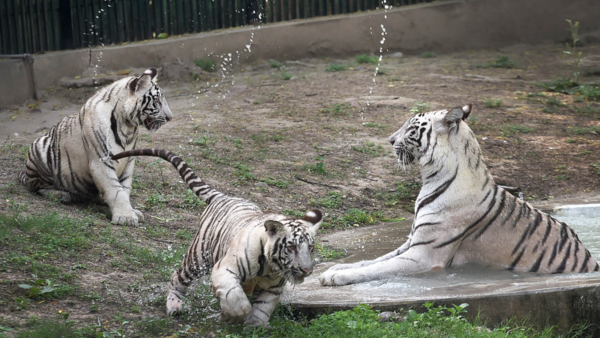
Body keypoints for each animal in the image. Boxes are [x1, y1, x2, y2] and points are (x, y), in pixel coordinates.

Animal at [19, 68, 171, 226]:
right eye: (157, 101)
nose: (170, 117)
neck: (128, 127)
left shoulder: (128, 161)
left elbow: (125, 188)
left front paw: (132, 212)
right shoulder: (102, 161)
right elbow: (116, 190)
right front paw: (126, 217)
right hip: (40, 146)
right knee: (37, 187)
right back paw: (60, 194)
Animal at [109, 149, 322, 328]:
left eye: (310, 248)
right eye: (292, 247)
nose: (307, 270)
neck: (271, 267)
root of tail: (223, 196)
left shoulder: (273, 288)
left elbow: (262, 309)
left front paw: (255, 327)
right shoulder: (225, 269)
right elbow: (236, 299)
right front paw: (229, 317)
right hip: (197, 258)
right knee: (176, 277)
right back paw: (175, 305)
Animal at [318, 103, 596, 286]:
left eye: (411, 128)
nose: (389, 140)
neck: (431, 177)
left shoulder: (423, 255)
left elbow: (379, 268)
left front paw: (337, 275)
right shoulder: (411, 242)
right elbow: (371, 261)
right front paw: (337, 267)